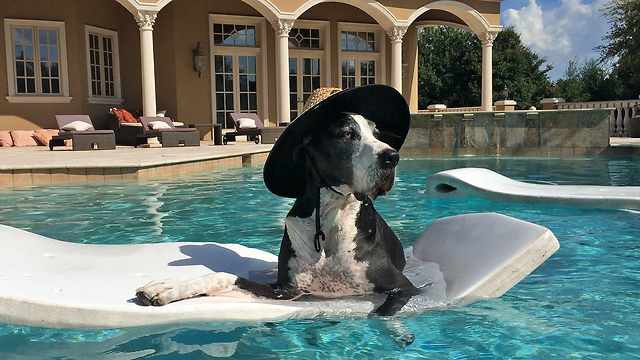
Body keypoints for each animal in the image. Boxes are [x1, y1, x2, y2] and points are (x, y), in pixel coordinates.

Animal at [135, 85, 418, 316]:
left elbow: (381, 314)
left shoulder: (404, 287)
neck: (329, 213)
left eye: (377, 133)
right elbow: (224, 275)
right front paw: (170, 287)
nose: (392, 157)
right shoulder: (286, 289)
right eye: (347, 135)